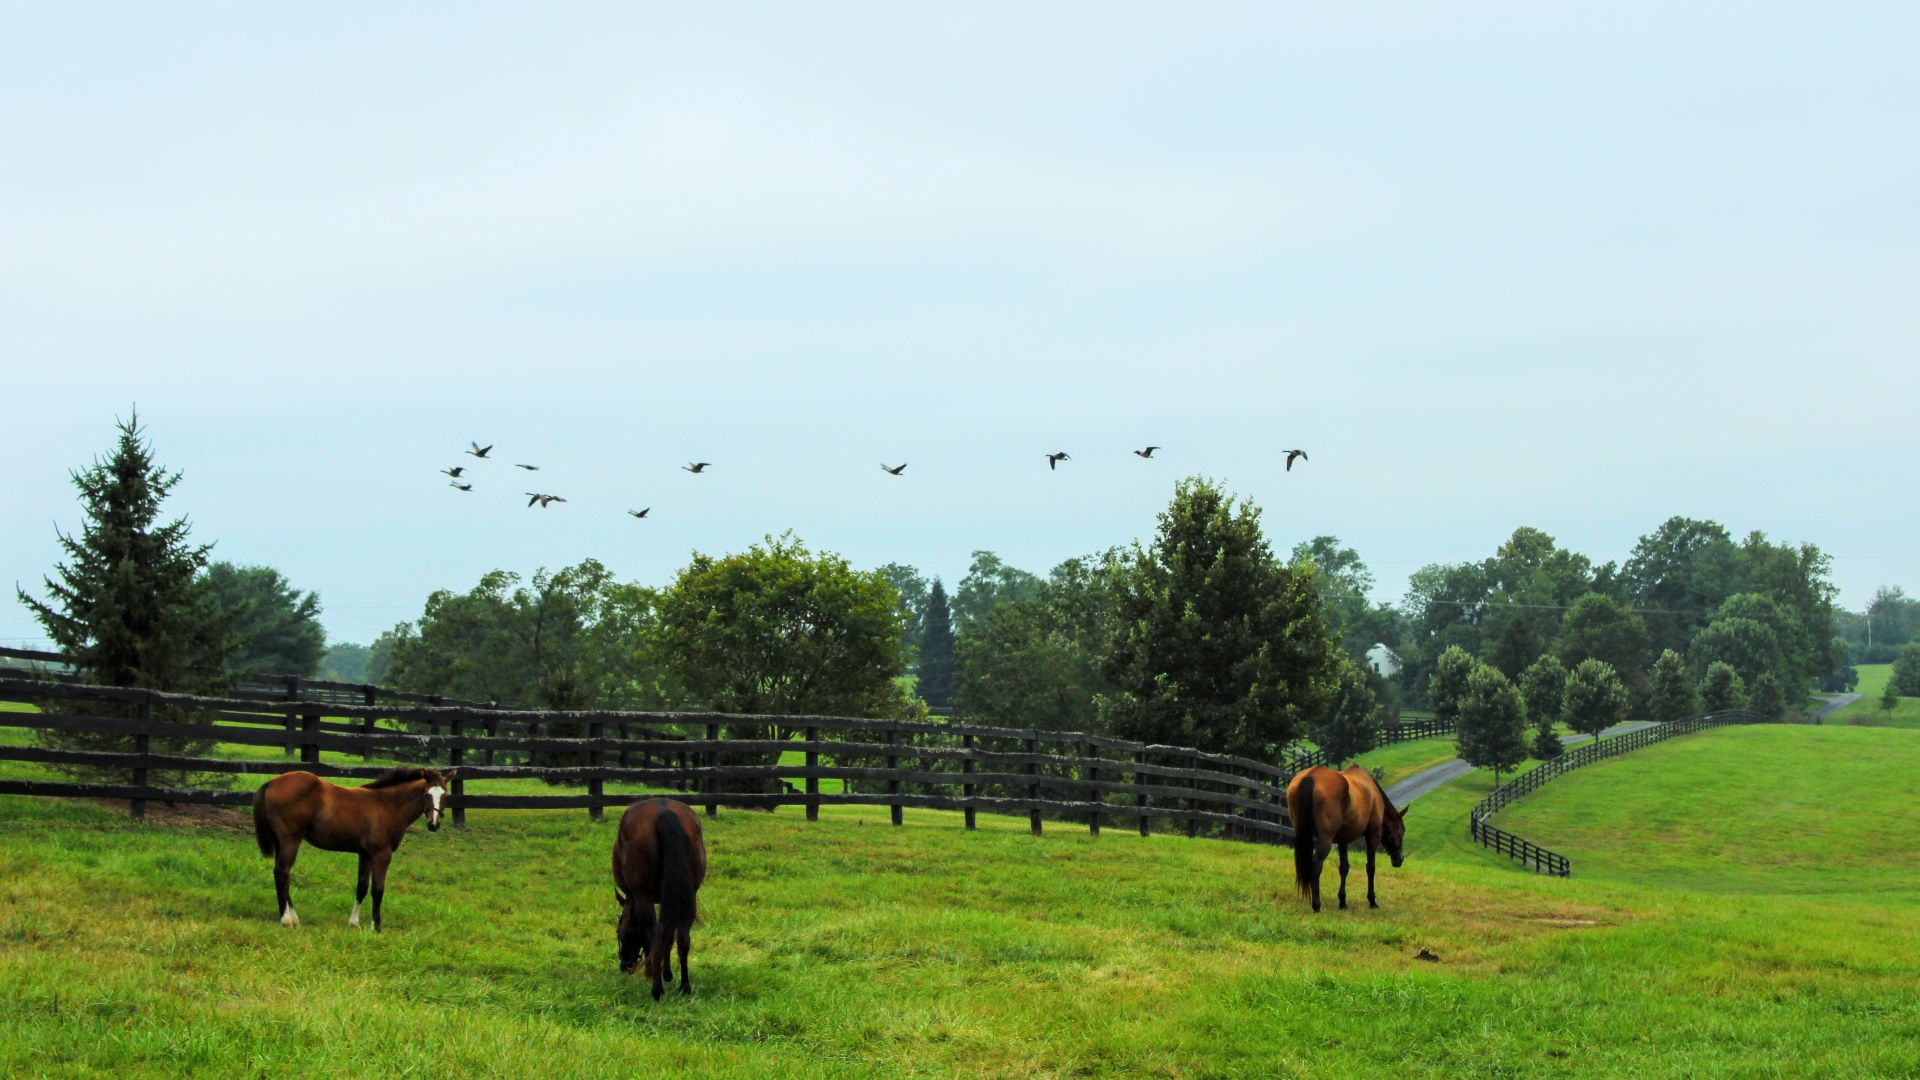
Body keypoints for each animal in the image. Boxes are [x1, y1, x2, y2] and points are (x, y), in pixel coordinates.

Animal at [252, 766, 454, 931]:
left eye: (445, 795)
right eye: (427, 794)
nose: (433, 825)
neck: (388, 805)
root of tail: (271, 783)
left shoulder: (365, 854)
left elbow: (361, 887)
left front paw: (354, 923)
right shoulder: (382, 854)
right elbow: (377, 889)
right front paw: (376, 927)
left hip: (281, 842)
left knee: (282, 874)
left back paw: (293, 918)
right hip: (290, 840)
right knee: (282, 873)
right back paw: (286, 920)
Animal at [612, 797, 707, 1000]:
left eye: (619, 932)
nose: (625, 966)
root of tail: (664, 811)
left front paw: (655, 974)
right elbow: (668, 935)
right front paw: (667, 973)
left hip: (644, 897)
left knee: (655, 933)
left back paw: (656, 989)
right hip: (689, 896)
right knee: (682, 937)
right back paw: (685, 987)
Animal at [1286, 764, 1407, 912]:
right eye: (1402, 831)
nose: (1400, 859)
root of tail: (1310, 776)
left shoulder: (1343, 840)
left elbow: (1344, 868)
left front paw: (1342, 901)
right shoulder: (1373, 835)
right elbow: (1370, 867)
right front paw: (1372, 900)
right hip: (1325, 839)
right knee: (1316, 864)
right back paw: (1316, 905)